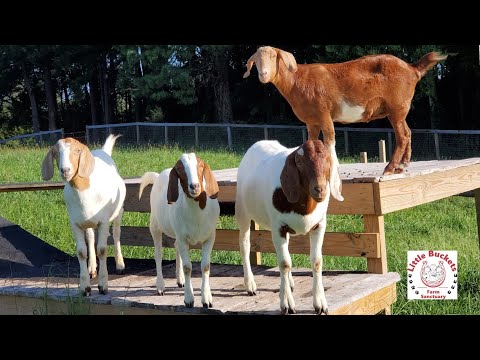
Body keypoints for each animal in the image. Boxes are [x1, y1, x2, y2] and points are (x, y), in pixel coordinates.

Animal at [41, 135, 126, 296]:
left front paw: (103, 286)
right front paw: (85, 287)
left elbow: (102, 250)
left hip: (118, 211)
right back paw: (92, 268)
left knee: (117, 233)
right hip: (87, 222)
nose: (65, 170)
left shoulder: (104, 221)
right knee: (91, 238)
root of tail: (103, 151)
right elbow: (81, 252)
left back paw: (120, 264)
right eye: (55, 152)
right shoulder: (75, 223)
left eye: (77, 151)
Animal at [138, 153, 220, 308]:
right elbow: (188, 267)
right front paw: (189, 299)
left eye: (200, 166)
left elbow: (205, 266)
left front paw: (207, 298)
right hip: (155, 226)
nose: (194, 186)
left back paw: (180, 279)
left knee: (176, 246)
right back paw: (160, 286)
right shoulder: (183, 238)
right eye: (180, 170)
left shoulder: (209, 237)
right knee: (158, 254)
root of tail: (158, 175)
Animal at [235, 139, 338, 314]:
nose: (320, 189)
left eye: (328, 160)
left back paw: (289, 282)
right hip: (243, 212)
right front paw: (287, 304)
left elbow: (316, 261)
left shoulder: (319, 225)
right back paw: (250, 285)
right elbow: (284, 263)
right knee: (244, 245)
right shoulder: (278, 227)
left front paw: (320, 303)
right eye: (299, 162)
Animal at [246, 46, 448, 180]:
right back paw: (402, 166)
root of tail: (412, 69)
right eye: (256, 60)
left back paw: (390, 168)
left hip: (396, 106)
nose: (263, 74)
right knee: (408, 132)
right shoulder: (312, 121)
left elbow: (329, 140)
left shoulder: (324, 113)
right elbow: (311, 143)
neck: (298, 80)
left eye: (274, 56)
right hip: (399, 110)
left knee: (403, 135)